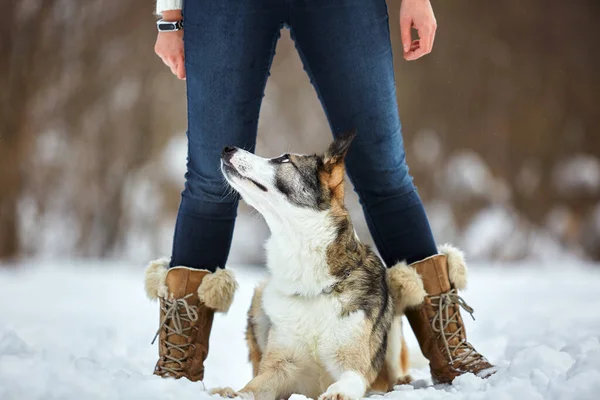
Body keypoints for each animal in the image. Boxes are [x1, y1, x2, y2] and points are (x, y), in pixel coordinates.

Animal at [217, 133, 426, 398]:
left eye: (285, 159)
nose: (227, 148)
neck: (310, 283)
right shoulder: (279, 368)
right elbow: (252, 387)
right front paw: (231, 393)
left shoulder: (354, 367)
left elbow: (349, 380)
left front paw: (338, 393)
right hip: (259, 299)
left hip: (400, 294)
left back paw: (402, 381)